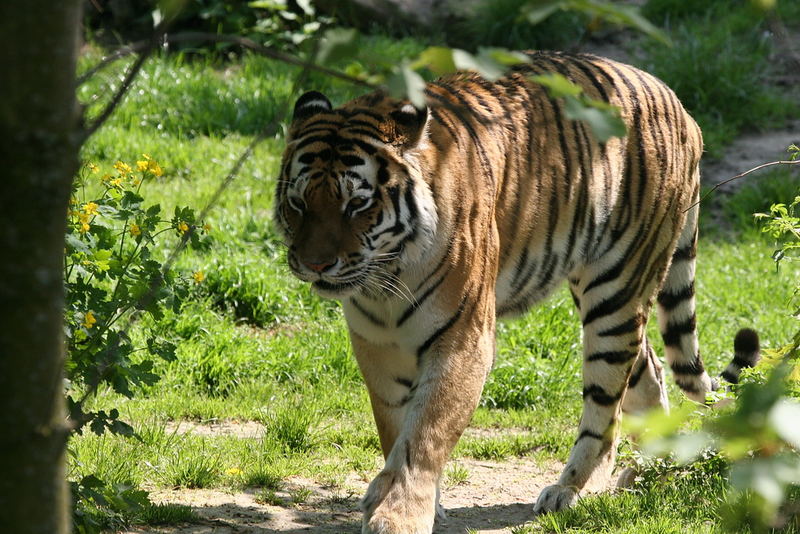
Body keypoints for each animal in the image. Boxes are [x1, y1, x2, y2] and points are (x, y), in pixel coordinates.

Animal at [272, 51, 760, 534]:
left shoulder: (464, 339)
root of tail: (675, 101)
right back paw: (646, 472)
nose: (315, 264)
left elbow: (425, 434)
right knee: (649, 371)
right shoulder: (377, 342)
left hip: (616, 288)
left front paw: (400, 515)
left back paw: (570, 489)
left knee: (606, 402)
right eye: (298, 203)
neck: (387, 277)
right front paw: (404, 499)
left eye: (357, 203)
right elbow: (394, 425)